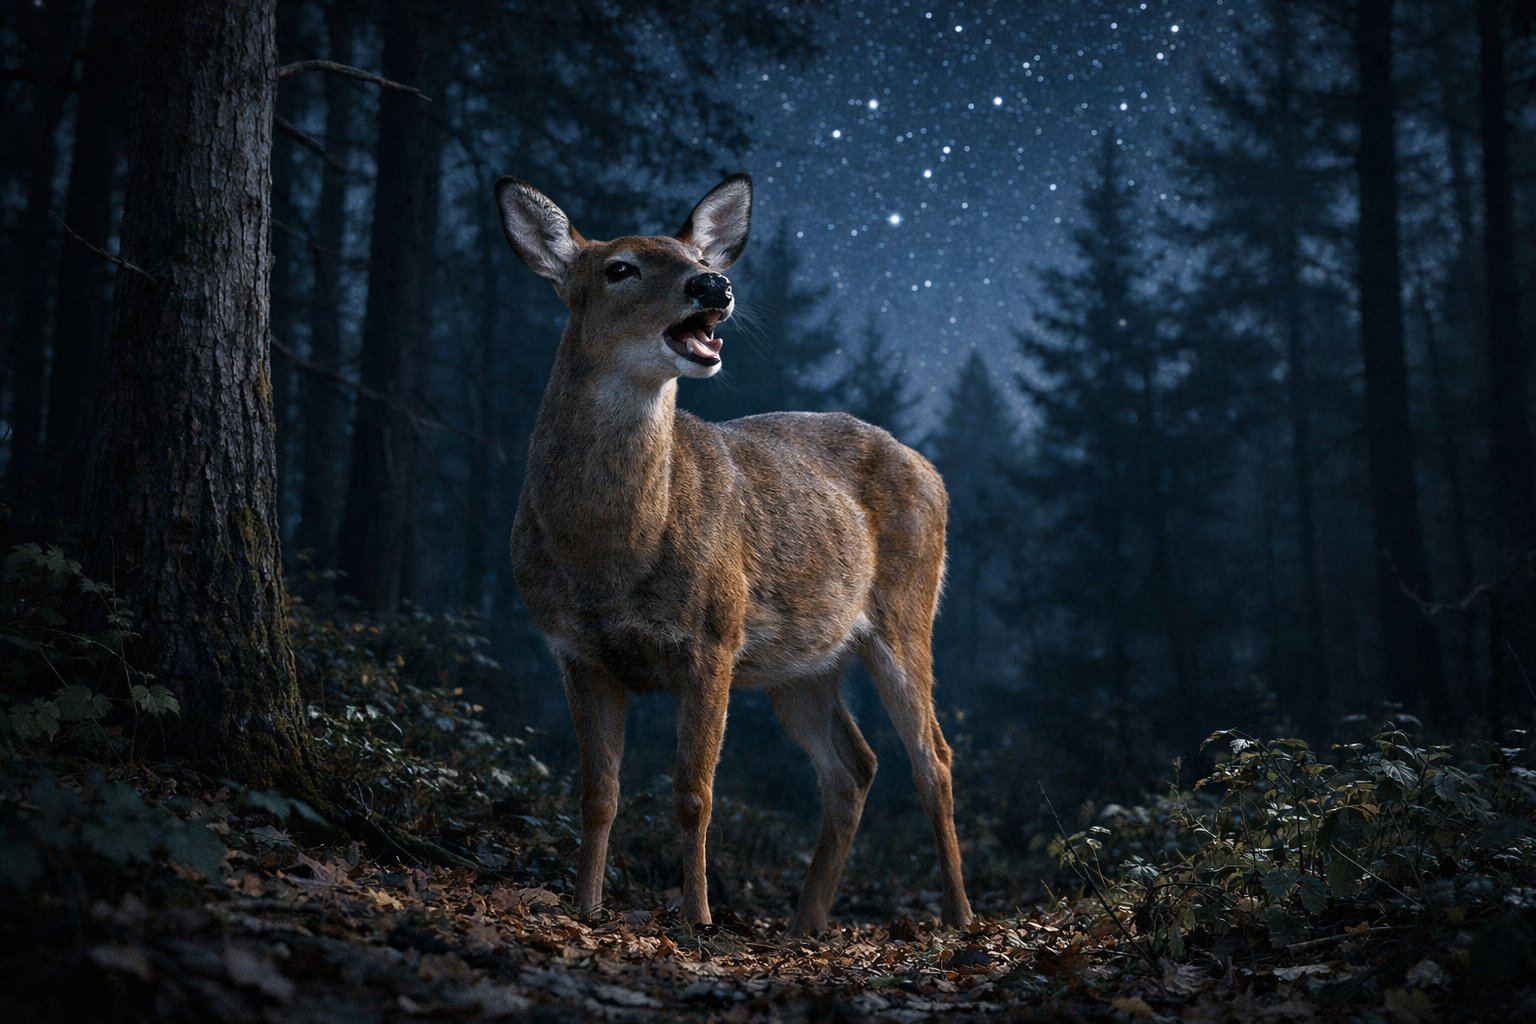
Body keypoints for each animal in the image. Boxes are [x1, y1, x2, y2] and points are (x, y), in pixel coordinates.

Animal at [494, 171, 973, 935]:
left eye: (694, 255)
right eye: (619, 268)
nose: (712, 283)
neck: (610, 555)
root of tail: (931, 469)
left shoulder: (713, 635)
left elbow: (694, 794)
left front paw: (698, 918)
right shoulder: (575, 648)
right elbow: (598, 793)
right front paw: (585, 907)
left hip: (906, 611)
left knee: (934, 756)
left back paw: (958, 916)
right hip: (800, 662)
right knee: (854, 764)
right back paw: (807, 921)